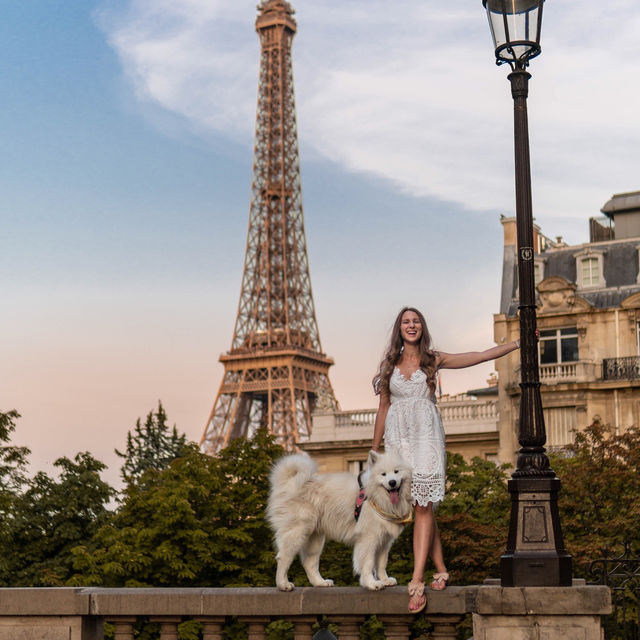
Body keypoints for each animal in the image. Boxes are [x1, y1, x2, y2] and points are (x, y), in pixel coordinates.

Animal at [266, 450, 412, 592]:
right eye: (383, 474)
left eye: (396, 471)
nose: (392, 482)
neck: (376, 498)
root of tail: (287, 484)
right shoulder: (368, 539)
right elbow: (368, 563)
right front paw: (372, 584)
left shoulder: (384, 541)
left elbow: (381, 564)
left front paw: (385, 580)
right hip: (297, 532)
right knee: (283, 558)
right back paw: (283, 584)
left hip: (315, 538)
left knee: (309, 563)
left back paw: (320, 583)